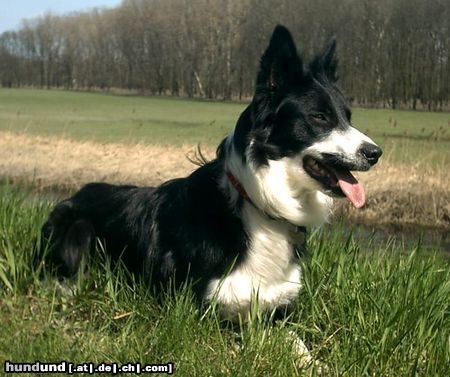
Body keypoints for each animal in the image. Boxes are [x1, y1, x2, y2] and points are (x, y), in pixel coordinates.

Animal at [40, 25, 382, 322]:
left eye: (348, 117)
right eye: (319, 117)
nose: (375, 153)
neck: (257, 202)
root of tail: (80, 190)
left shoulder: (280, 307)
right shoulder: (204, 308)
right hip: (77, 229)